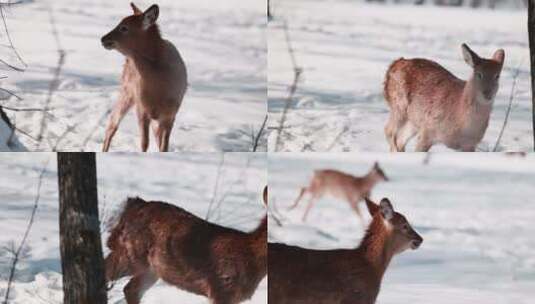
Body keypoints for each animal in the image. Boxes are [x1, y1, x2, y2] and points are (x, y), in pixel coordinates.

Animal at [101, 2, 187, 152]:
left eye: (124, 27)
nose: (103, 39)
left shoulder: (170, 114)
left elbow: (164, 146)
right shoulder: (142, 108)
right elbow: (144, 143)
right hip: (127, 92)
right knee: (112, 124)